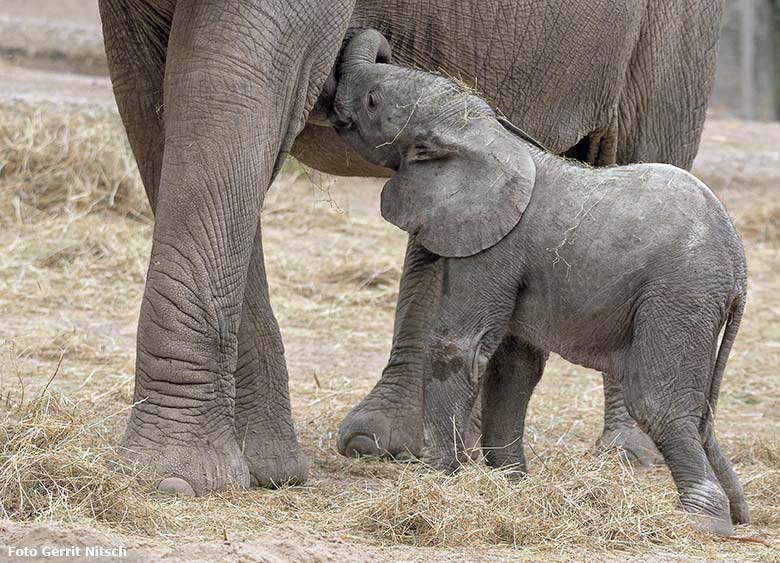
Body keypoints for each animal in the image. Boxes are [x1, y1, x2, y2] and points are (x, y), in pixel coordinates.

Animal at [99, 0, 724, 494]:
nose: (374, 42)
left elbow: (231, 93)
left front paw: (171, 481)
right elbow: (160, 111)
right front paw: (265, 470)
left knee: (639, 146)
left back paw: (625, 458)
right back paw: (407, 445)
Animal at [330, 29, 748, 536]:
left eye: (373, 101)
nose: (377, 42)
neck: (484, 133)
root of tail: (740, 268)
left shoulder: (493, 247)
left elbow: (461, 347)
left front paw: (440, 479)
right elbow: (515, 363)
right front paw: (509, 483)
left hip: (680, 295)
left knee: (657, 403)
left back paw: (701, 523)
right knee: (701, 414)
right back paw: (738, 513)